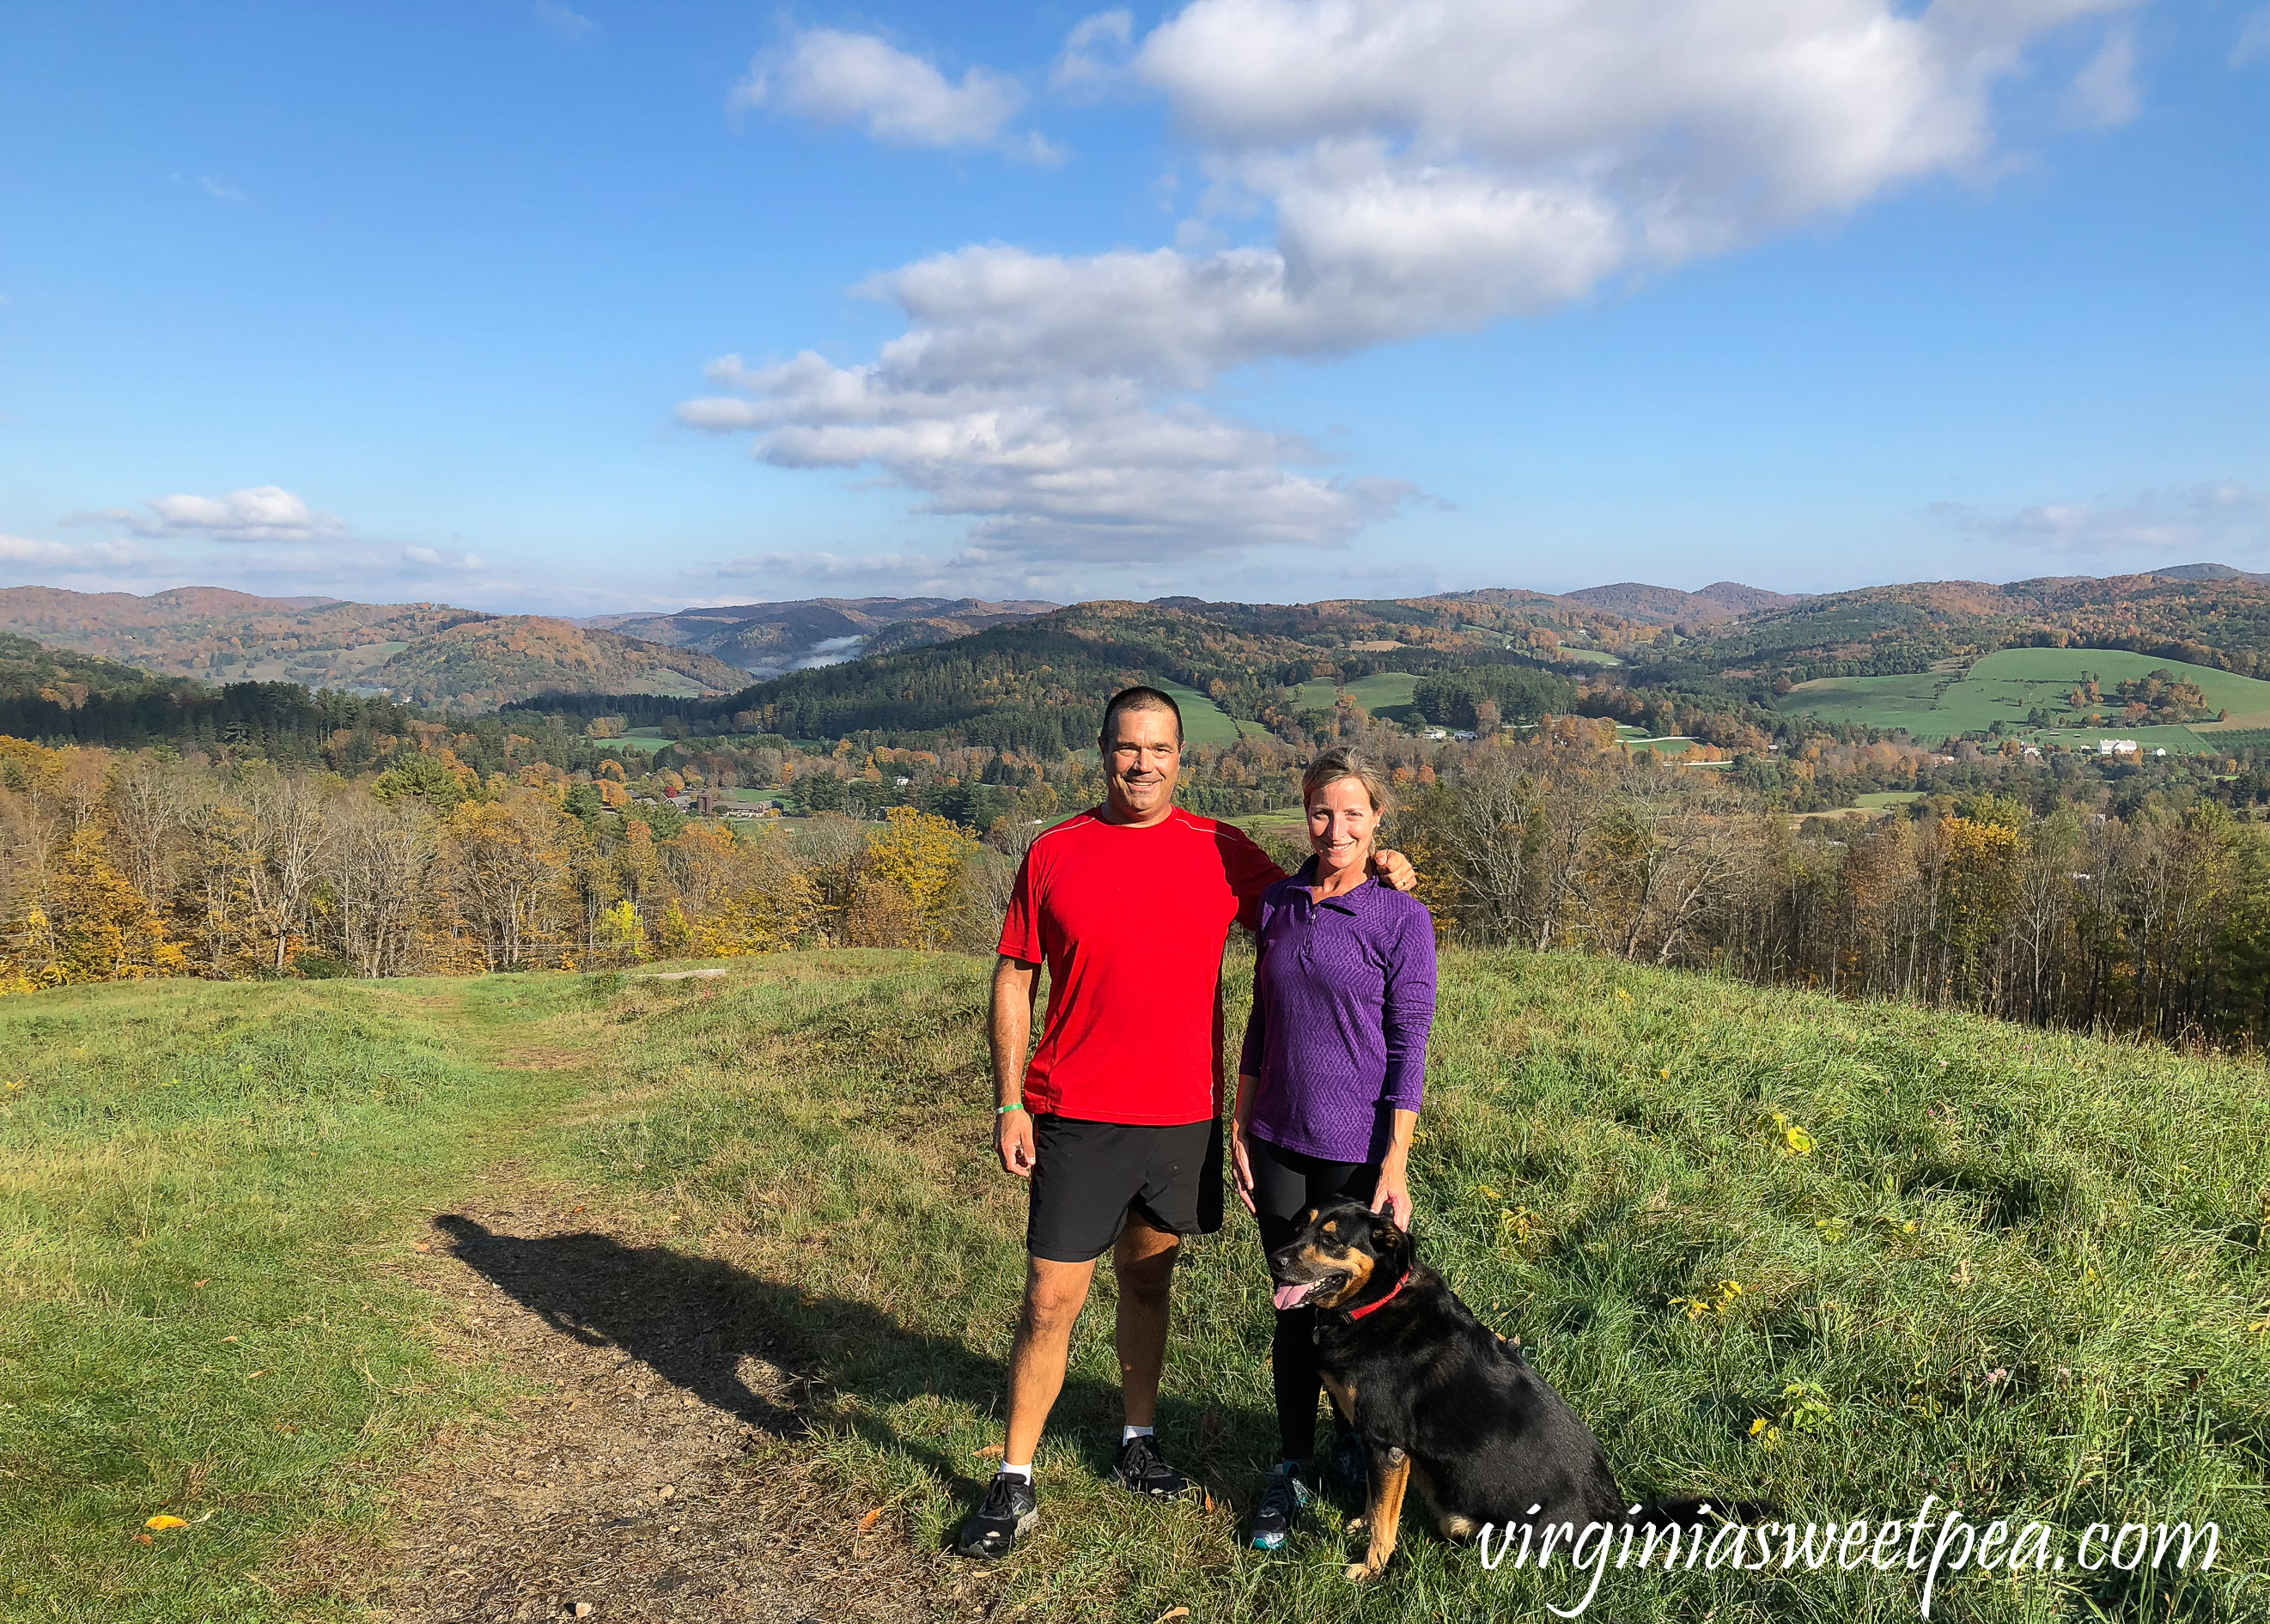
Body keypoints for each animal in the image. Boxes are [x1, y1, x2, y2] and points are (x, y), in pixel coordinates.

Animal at [1271, 1199, 1743, 1580]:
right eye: (1300, 1227)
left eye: (1331, 1241)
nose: (1275, 1260)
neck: (1376, 1303)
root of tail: (1614, 1512)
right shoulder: (1377, 1446)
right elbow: (1375, 1499)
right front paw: (1361, 1524)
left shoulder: (1387, 1445)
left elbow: (1386, 1520)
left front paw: (1370, 1568)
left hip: (1480, 1525)